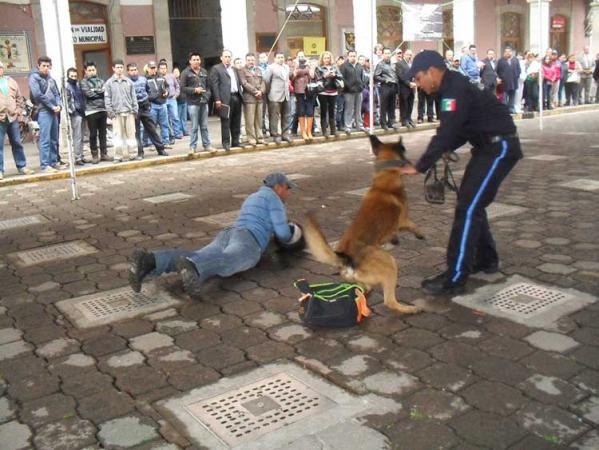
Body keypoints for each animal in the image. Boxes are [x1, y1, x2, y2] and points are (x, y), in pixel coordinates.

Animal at [304, 135, 426, 314]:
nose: (411, 164)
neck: (385, 176)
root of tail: (346, 258)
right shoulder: (402, 219)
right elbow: (412, 224)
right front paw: (419, 233)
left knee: (364, 290)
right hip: (389, 263)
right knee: (389, 301)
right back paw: (409, 309)